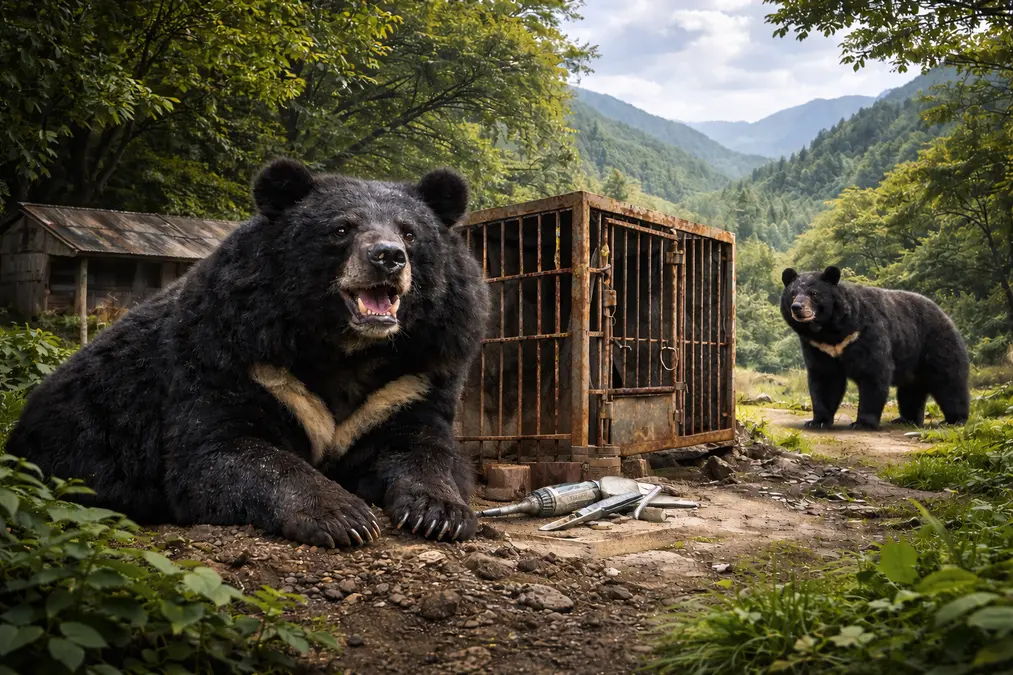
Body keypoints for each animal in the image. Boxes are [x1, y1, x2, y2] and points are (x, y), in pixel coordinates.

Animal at [5, 158, 491, 548]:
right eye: (341, 229)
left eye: (410, 234)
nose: (388, 257)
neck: (347, 347)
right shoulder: (232, 357)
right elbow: (228, 452)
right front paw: (344, 517)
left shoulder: (414, 376)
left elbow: (422, 447)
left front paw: (440, 515)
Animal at [780, 266, 969, 430]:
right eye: (793, 294)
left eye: (814, 294)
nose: (797, 308)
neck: (829, 331)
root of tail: (945, 315)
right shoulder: (819, 347)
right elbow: (825, 378)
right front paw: (817, 422)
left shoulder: (866, 333)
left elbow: (873, 372)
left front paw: (862, 423)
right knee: (911, 390)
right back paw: (905, 419)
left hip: (936, 345)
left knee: (949, 382)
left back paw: (954, 420)